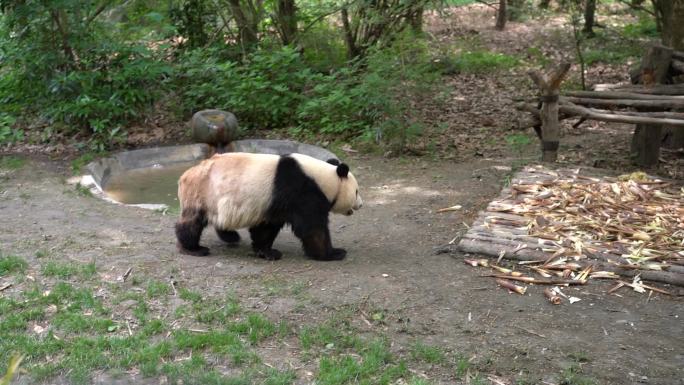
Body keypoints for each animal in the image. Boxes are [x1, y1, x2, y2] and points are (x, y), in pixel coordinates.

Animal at [175, 152, 364, 260]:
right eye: (356, 191)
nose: (361, 204)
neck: (323, 178)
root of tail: (186, 174)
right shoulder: (300, 191)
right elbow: (312, 228)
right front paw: (333, 253)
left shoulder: (274, 202)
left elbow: (267, 227)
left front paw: (266, 252)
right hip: (202, 193)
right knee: (192, 223)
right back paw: (193, 248)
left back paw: (231, 237)